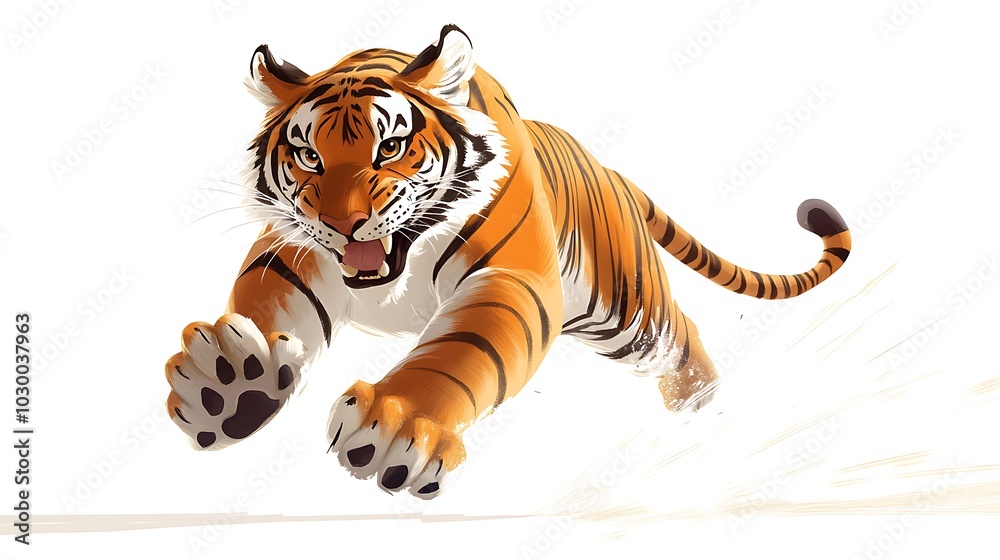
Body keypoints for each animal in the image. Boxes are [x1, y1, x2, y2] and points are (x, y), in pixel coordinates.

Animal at [164, 24, 852, 498]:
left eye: (390, 147)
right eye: (308, 156)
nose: (340, 221)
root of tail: (611, 171)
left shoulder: (508, 279)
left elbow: (458, 352)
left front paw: (399, 426)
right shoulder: (289, 252)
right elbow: (260, 308)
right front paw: (234, 383)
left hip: (625, 312)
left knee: (680, 336)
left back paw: (700, 415)